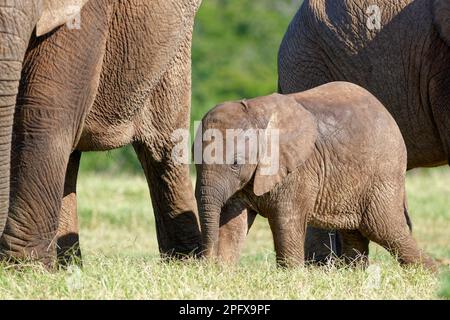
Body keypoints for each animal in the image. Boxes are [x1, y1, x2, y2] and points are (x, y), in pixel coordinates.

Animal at [196, 80, 436, 270]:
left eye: (236, 163)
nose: (204, 264)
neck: (256, 112)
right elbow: (232, 224)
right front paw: (222, 272)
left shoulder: (298, 169)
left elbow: (287, 221)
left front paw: (291, 277)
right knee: (355, 233)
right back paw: (354, 275)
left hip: (384, 172)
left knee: (385, 229)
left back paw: (429, 276)